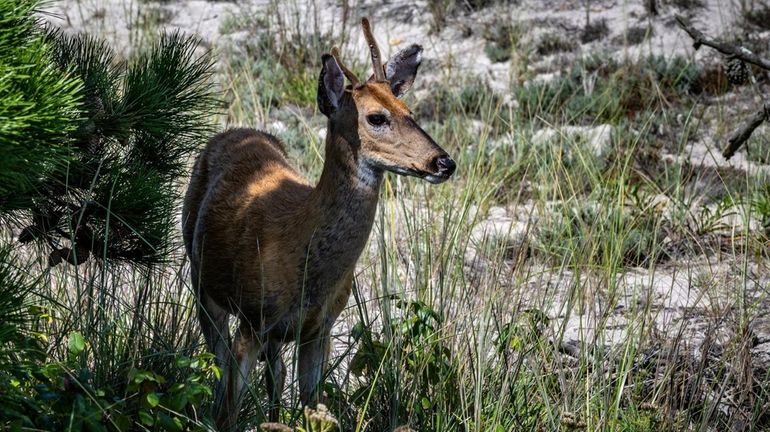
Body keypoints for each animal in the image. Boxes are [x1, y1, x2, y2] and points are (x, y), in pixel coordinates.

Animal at [182, 16, 452, 428]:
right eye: (376, 117)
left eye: (409, 111)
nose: (443, 162)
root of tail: (235, 131)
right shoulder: (252, 319)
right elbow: (229, 406)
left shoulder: (319, 329)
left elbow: (312, 406)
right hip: (203, 286)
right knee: (220, 366)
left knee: (274, 379)